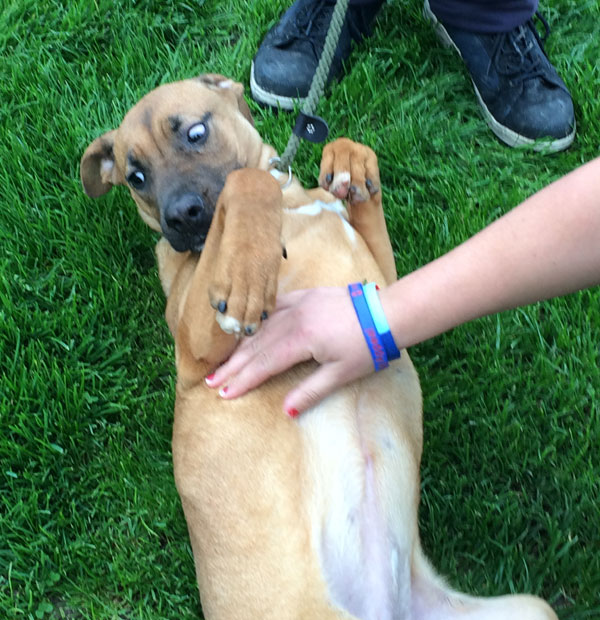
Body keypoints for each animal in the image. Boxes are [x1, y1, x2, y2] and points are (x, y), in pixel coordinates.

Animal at [81, 76, 556, 620]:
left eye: (196, 133)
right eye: (136, 177)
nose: (180, 218)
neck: (289, 206)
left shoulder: (383, 288)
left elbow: (349, 182)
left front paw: (349, 164)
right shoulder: (196, 347)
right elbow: (245, 184)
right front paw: (245, 276)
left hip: (529, 607)